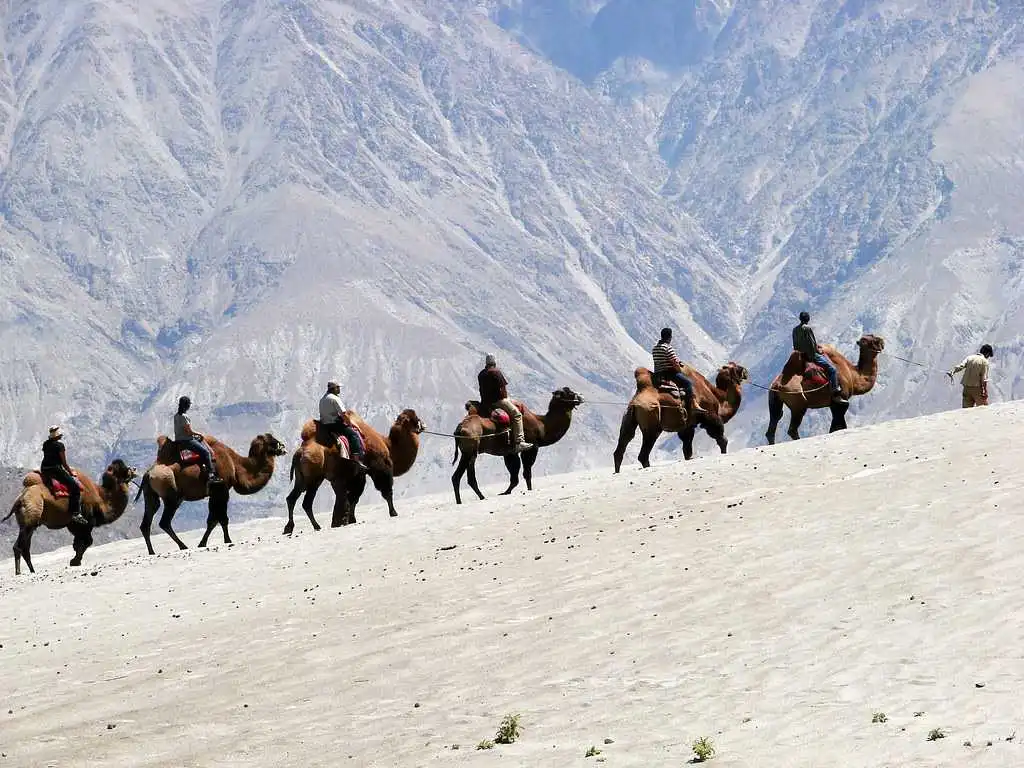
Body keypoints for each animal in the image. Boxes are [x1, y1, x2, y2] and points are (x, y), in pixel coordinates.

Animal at [4, 459, 138, 575]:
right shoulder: (86, 521)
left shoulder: (73, 525)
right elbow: (87, 541)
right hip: (29, 520)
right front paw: (75, 561)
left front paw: (75, 560)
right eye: (125, 469)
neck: (102, 500)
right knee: (18, 547)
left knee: (25, 548)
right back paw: (18, 572)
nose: (134, 469)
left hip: (30, 523)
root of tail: (21, 497)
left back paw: (32, 570)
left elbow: (77, 543)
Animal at [136, 432, 287, 555]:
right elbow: (222, 518)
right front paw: (228, 540)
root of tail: (148, 473)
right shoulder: (222, 489)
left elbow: (212, 520)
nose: (284, 447)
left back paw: (152, 551)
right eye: (272, 441)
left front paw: (202, 543)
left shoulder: (213, 493)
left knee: (146, 522)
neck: (235, 464)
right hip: (172, 496)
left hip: (151, 495)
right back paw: (182, 546)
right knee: (164, 522)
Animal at [283, 408, 426, 533]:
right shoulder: (378, 469)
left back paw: (289, 528)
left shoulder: (352, 475)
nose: (423, 425)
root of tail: (300, 452)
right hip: (314, 478)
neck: (388, 445)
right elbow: (384, 491)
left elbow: (351, 498)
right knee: (306, 502)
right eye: (415, 419)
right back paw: (316, 526)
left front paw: (346, 520)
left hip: (301, 478)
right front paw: (393, 512)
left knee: (291, 498)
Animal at [451, 386, 584, 505]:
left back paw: (472, 498)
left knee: (465, 477)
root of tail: (459, 429)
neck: (542, 424)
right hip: (469, 451)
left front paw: (505, 492)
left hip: (470, 452)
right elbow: (527, 473)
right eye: (569, 392)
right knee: (461, 476)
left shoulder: (510, 453)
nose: (581, 397)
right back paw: (469, 500)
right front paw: (529, 490)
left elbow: (514, 476)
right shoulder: (532, 447)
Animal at [612, 361, 749, 472]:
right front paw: (723, 454)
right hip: (651, 420)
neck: (719, 398)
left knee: (623, 444)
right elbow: (722, 439)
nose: (746, 371)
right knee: (643, 454)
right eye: (735, 367)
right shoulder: (710, 416)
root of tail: (636, 400)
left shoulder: (687, 426)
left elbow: (687, 450)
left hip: (629, 418)